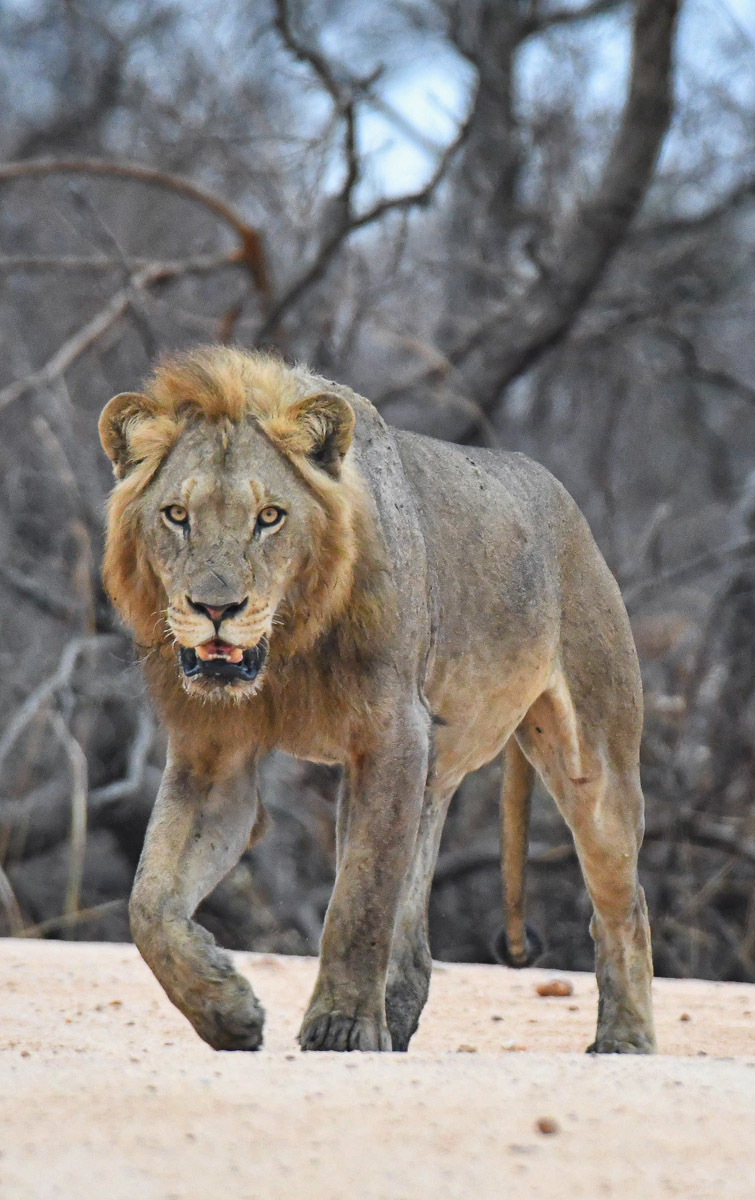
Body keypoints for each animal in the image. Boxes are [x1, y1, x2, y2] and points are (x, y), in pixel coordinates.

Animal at [98, 346, 656, 1055]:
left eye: (269, 517)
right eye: (176, 515)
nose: (216, 609)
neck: (288, 650)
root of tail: (558, 494)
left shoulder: (393, 737)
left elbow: (358, 899)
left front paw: (342, 1028)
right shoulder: (213, 760)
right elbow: (149, 904)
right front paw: (228, 1011)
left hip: (593, 761)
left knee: (624, 904)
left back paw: (625, 1040)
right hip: (435, 769)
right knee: (413, 935)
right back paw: (397, 1015)